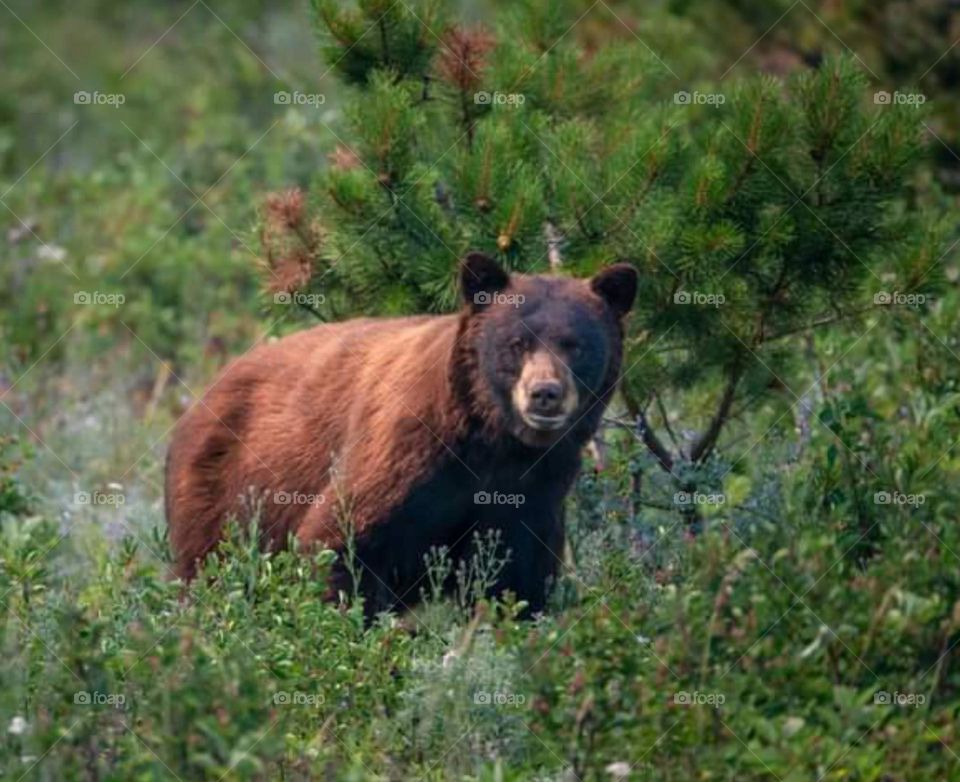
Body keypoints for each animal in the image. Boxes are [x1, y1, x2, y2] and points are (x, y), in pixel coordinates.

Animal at [164, 252, 637, 618]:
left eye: (575, 345)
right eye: (518, 343)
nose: (545, 393)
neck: (494, 443)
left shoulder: (538, 486)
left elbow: (516, 580)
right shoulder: (405, 449)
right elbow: (339, 540)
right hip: (223, 493)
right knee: (206, 568)